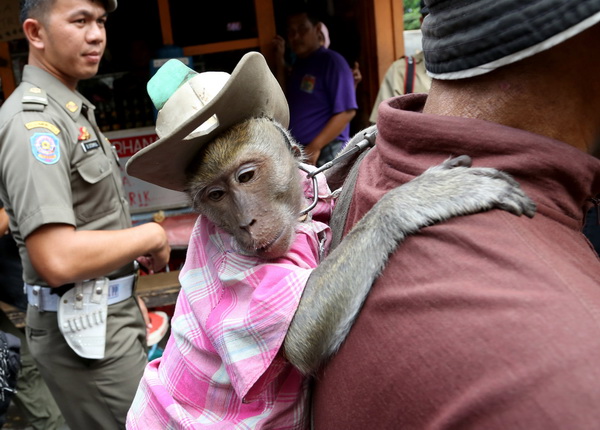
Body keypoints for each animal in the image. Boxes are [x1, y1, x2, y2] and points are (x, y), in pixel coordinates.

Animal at [186, 115, 536, 376]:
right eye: (215, 195)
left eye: (245, 177)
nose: (246, 222)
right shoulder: (230, 259)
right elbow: (298, 335)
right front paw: (410, 200)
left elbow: (323, 179)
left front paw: (368, 135)